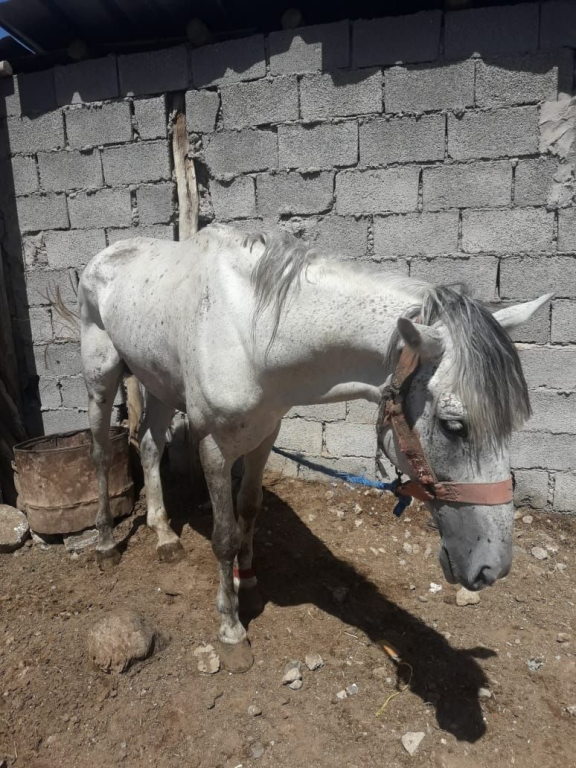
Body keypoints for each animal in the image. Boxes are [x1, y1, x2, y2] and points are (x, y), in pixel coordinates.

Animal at [76, 222, 551, 671]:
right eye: (454, 426)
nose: (493, 568)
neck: (252, 332)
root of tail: (103, 255)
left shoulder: (265, 433)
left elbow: (250, 508)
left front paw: (248, 584)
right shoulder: (213, 446)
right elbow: (224, 535)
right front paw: (231, 629)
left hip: (156, 381)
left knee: (149, 447)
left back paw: (163, 536)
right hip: (101, 378)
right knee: (101, 454)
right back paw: (105, 544)